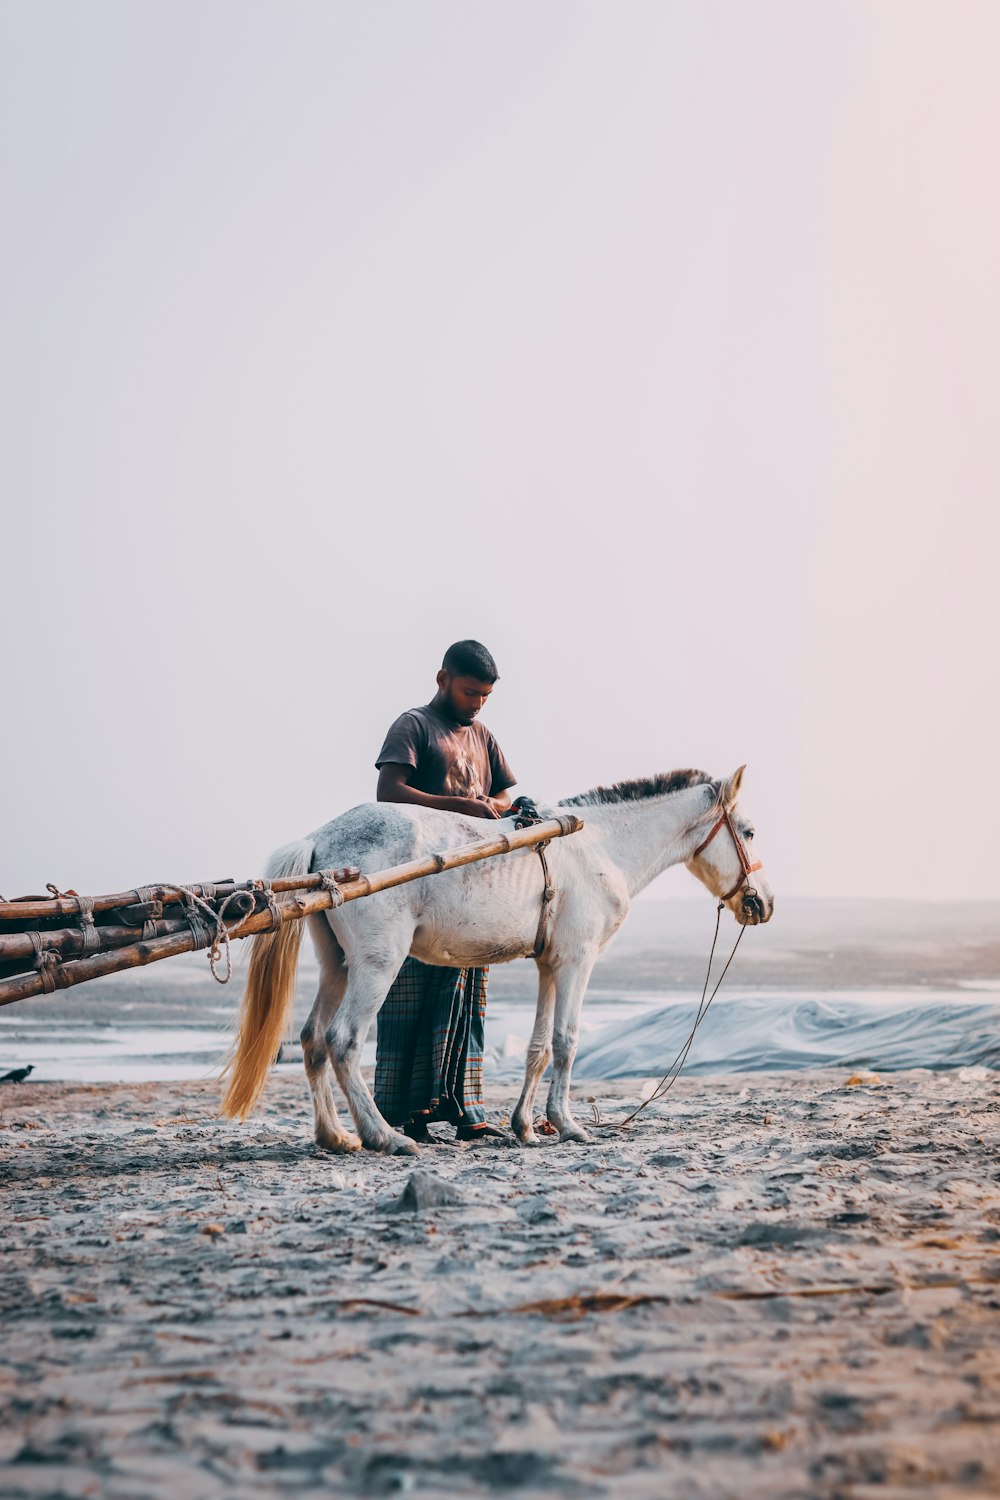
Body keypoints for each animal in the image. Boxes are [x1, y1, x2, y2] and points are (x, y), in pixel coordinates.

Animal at [224, 768, 773, 1152]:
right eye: (748, 832)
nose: (763, 903)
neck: (599, 847)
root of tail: (320, 839)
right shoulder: (577, 961)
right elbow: (567, 1042)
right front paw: (568, 1125)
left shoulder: (550, 965)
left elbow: (538, 1048)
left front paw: (526, 1127)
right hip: (378, 964)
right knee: (343, 1040)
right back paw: (386, 1136)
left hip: (337, 964)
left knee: (313, 1039)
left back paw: (336, 1136)